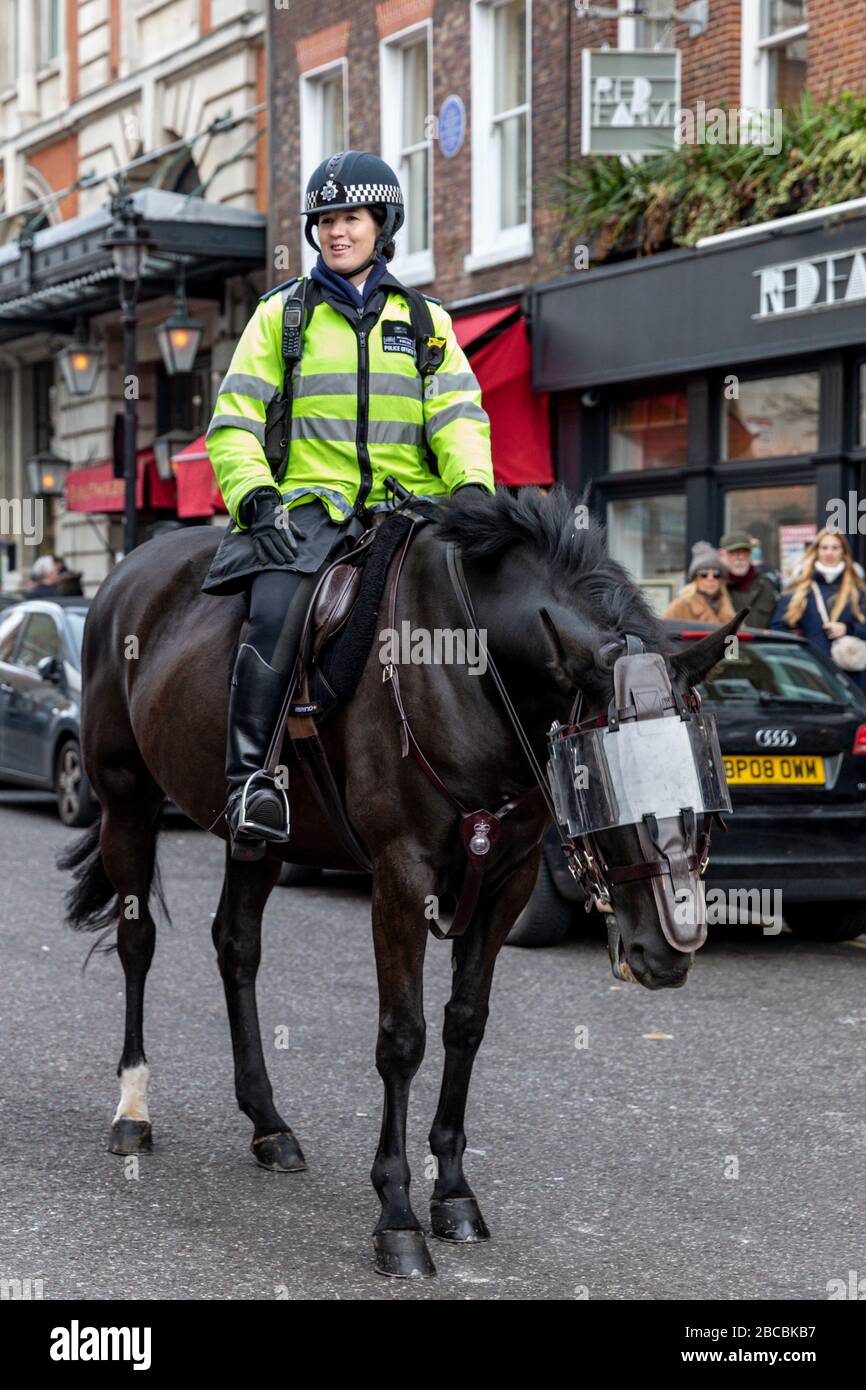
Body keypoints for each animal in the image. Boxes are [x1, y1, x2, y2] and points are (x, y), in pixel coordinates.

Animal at [61, 489, 733, 1278]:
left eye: (705, 773)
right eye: (596, 779)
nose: (668, 950)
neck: (469, 669)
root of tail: (127, 567)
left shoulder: (506, 878)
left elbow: (465, 1024)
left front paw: (454, 1194)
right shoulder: (401, 874)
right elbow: (403, 1037)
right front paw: (398, 1216)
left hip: (255, 840)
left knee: (236, 947)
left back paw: (268, 1123)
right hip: (126, 798)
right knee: (136, 941)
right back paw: (133, 1106)